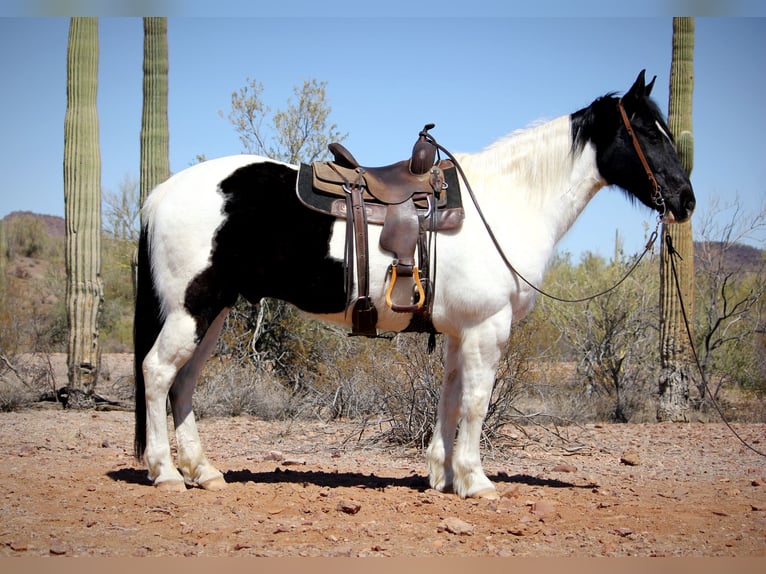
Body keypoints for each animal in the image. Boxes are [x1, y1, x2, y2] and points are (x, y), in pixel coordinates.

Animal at [134, 70, 696, 498]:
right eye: (647, 132)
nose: (685, 200)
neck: (505, 204)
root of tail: (160, 194)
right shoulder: (487, 329)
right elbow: (475, 402)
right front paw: (476, 480)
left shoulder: (461, 333)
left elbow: (449, 399)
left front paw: (443, 477)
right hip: (192, 309)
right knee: (158, 372)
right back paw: (165, 473)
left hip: (215, 312)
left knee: (184, 383)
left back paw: (204, 471)